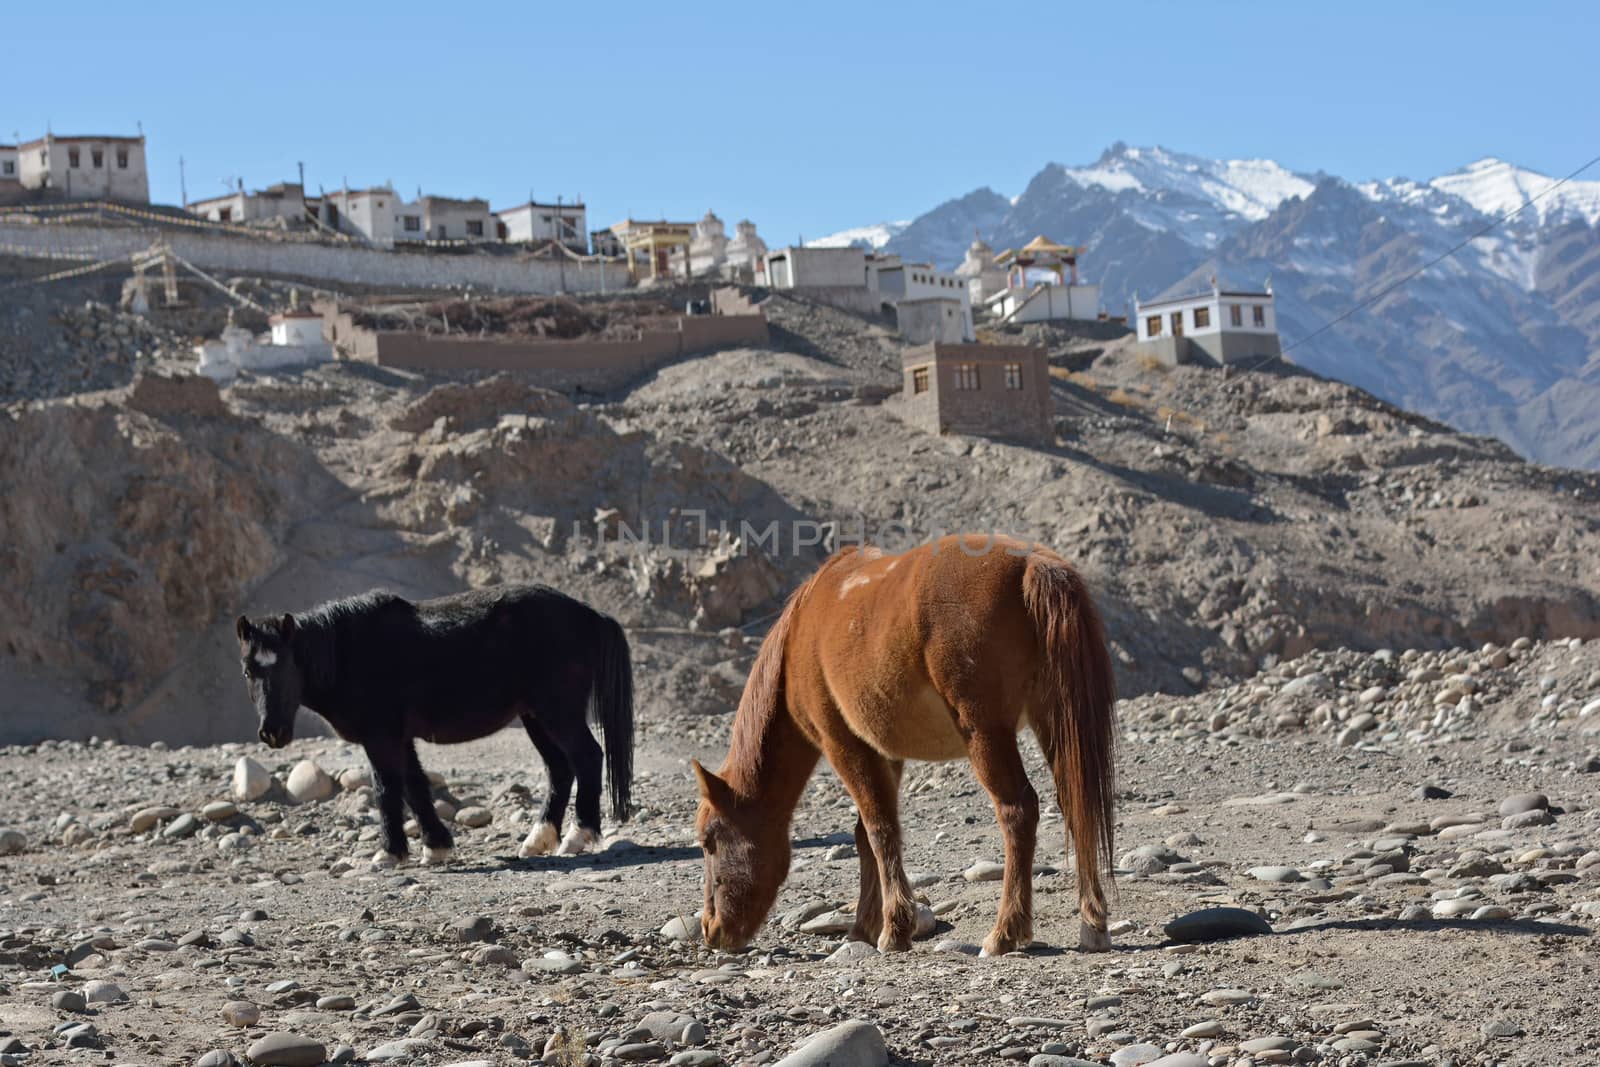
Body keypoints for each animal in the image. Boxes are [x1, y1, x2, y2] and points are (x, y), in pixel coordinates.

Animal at [233, 585, 633, 870]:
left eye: (287, 666)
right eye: (248, 671)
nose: (272, 733)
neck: (349, 652)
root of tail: (589, 614)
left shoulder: (381, 738)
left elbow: (387, 789)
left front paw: (389, 854)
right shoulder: (400, 739)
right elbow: (415, 787)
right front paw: (436, 847)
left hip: (557, 712)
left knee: (586, 757)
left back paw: (578, 836)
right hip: (535, 718)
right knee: (560, 770)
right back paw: (538, 840)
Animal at [694, 534, 1120, 959]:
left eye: (709, 840)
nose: (711, 930)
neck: (800, 637)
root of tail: (1030, 564)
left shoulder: (843, 745)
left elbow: (879, 830)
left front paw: (894, 930)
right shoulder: (885, 754)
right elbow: (866, 835)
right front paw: (863, 928)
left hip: (986, 734)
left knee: (1018, 811)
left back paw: (1004, 933)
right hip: (1052, 721)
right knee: (1076, 802)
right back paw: (1092, 924)